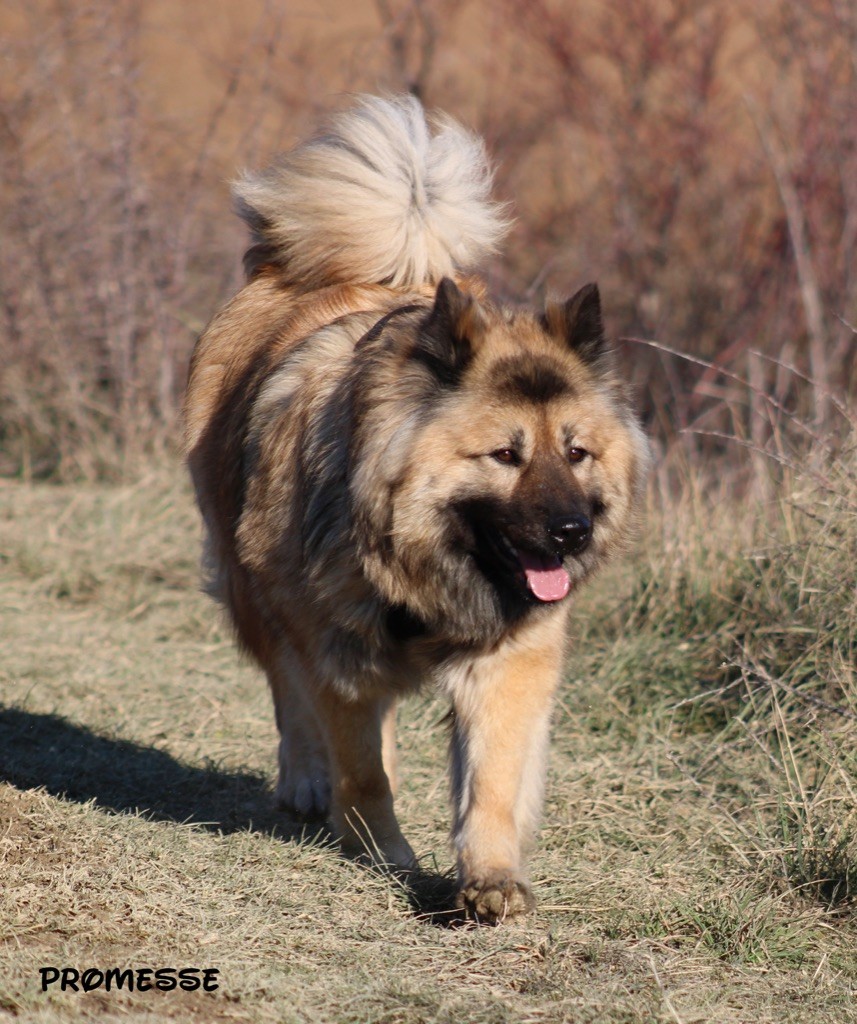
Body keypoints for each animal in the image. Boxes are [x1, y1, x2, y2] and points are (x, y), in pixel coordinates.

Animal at [182, 96, 647, 925]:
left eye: (576, 452)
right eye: (504, 455)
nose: (572, 532)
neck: (414, 557)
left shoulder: (508, 659)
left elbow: (491, 780)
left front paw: (490, 879)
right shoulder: (335, 645)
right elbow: (358, 762)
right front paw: (380, 850)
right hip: (251, 585)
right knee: (288, 693)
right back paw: (307, 782)